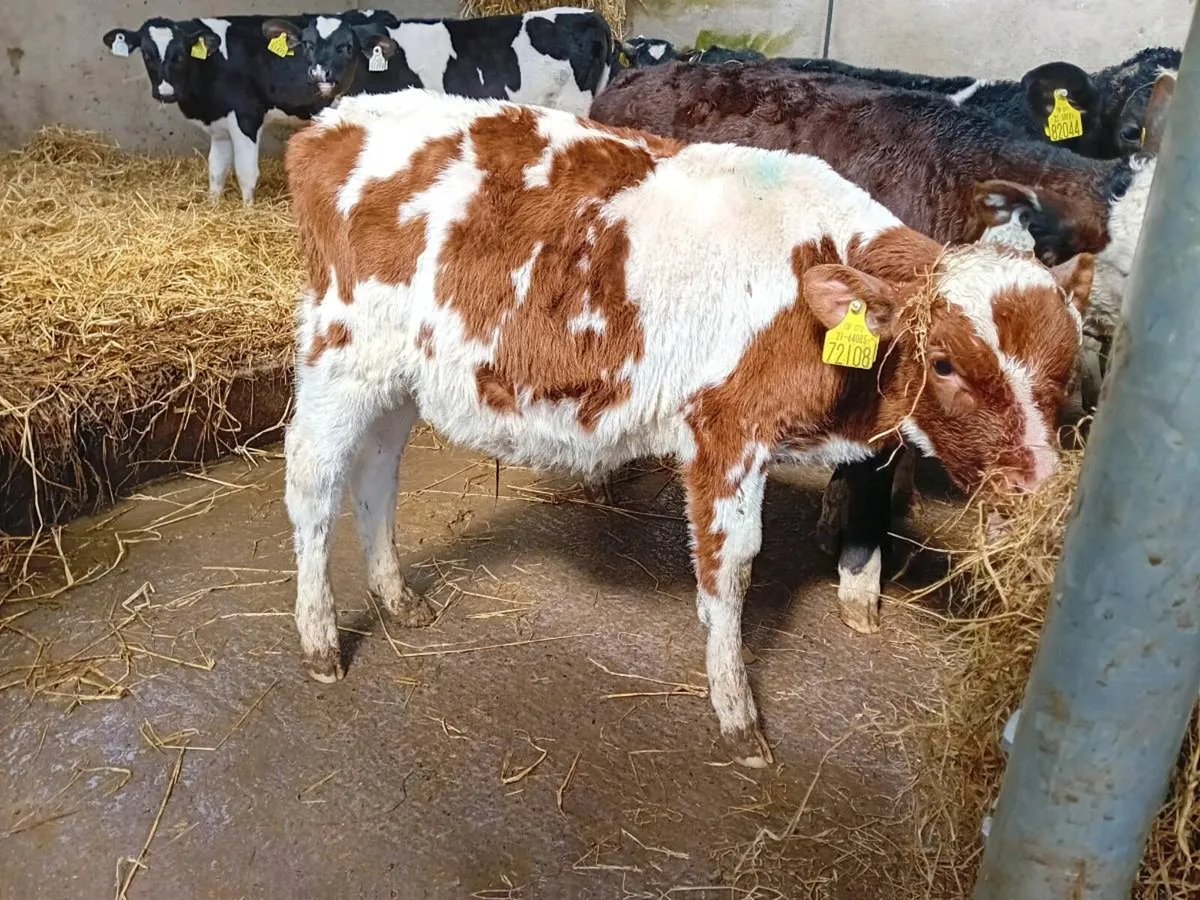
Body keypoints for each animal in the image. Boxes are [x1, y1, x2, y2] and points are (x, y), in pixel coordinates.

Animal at [101, 11, 386, 204]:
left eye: (180, 54)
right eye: (147, 55)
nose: (165, 92)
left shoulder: (246, 117)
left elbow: (246, 173)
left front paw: (247, 209)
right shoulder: (219, 125)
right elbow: (216, 170)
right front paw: (213, 206)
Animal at [281, 87, 1093, 766]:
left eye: (1063, 371)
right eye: (946, 363)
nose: (1036, 484)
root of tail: (334, 121)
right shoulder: (726, 431)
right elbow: (730, 570)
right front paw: (737, 713)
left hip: (401, 374)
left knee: (377, 476)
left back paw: (396, 595)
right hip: (340, 351)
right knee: (314, 485)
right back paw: (319, 638)